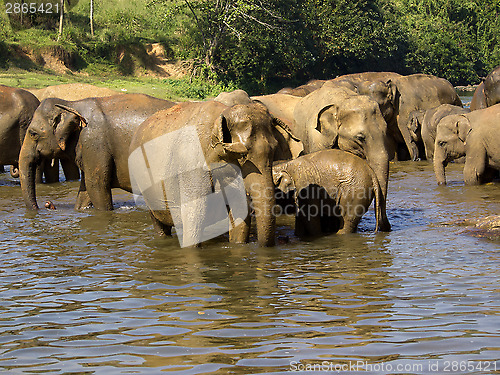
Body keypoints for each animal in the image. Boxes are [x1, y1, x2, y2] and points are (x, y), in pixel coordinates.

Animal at [19, 94, 176, 212]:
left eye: (33, 133)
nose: (46, 204)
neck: (72, 104)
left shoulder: (94, 144)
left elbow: (96, 186)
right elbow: (85, 190)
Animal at [128, 101, 278, 248]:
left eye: (274, 150)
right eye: (242, 155)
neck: (222, 113)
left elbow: (240, 212)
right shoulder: (191, 163)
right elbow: (194, 216)